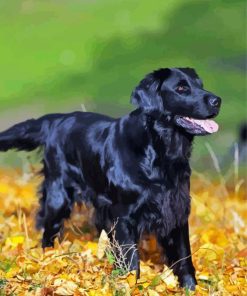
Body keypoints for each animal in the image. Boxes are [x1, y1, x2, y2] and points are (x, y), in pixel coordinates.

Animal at [0, 67, 220, 290]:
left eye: (200, 84)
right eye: (181, 88)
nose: (217, 100)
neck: (158, 152)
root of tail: (58, 119)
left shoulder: (176, 210)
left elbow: (184, 257)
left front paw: (191, 289)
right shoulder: (124, 215)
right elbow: (131, 260)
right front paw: (131, 287)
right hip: (58, 197)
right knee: (48, 232)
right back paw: (47, 259)